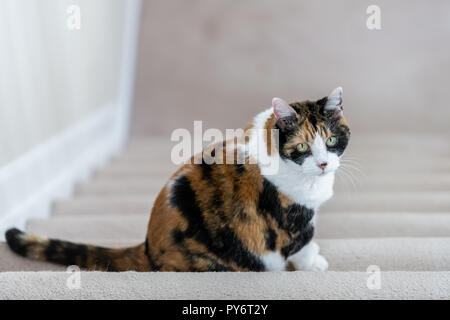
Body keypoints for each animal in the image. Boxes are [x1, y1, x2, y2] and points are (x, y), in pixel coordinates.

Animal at [5, 88, 350, 272]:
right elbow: (303, 245)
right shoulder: (291, 222)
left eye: (332, 140)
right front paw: (315, 264)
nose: (323, 164)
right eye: (302, 147)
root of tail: (146, 246)